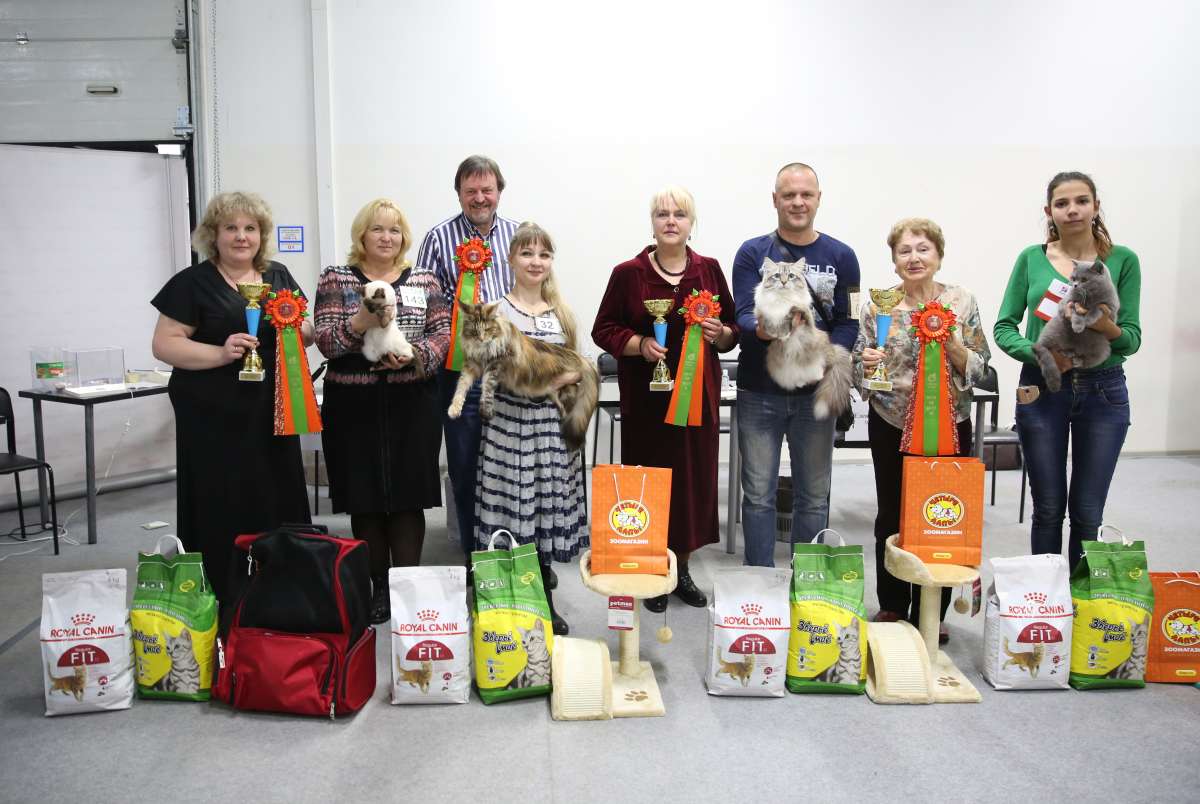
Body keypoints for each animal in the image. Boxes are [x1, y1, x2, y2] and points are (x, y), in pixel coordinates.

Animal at [447, 300, 599, 452]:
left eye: (487, 329)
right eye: (474, 331)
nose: (481, 339)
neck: (482, 350)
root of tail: (577, 357)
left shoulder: (495, 365)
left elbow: (487, 389)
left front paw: (486, 412)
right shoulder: (472, 366)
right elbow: (461, 387)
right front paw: (454, 409)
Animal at [753, 257, 853, 418]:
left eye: (791, 276)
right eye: (777, 276)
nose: (783, 282)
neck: (782, 300)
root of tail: (834, 350)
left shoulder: (803, 313)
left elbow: (791, 312)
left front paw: (785, 331)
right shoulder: (761, 314)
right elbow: (769, 324)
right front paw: (779, 333)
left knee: (818, 373)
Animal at [1033, 259, 1120, 392]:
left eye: (1084, 280)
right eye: (1073, 278)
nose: (1074, 285)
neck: (1089, 296)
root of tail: (1076, 348)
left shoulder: (1110, 310)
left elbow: (1096, 309)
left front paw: (1088, 320)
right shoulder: (1067, 303)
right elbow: (1075, 311)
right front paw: (1078, 326)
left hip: (1103, 348)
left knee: (1089, 360)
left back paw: (1076, 359)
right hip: (1055, 326)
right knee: (1044, 347)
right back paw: (1066, 353)